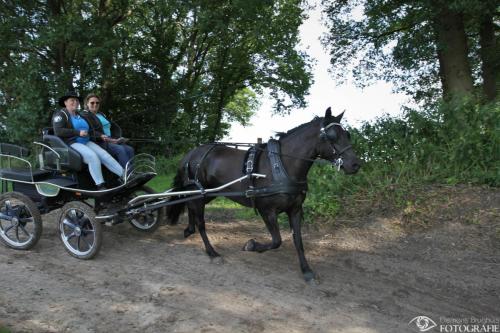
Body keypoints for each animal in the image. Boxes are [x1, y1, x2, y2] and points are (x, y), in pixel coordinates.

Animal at [167, 108, 360, 280]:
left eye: (347, 134)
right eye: (332, 136)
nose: (355, 164)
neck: (282, 165)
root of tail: (189, 154)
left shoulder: (295, 209)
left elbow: (298, 240)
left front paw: (306, 270)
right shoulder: (266, 210)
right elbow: (276, 241)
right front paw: (251, 245)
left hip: (207, 193)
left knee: (190, 205)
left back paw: (189, 230)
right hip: (200, 192)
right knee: (201, 222)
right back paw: (212, 252)